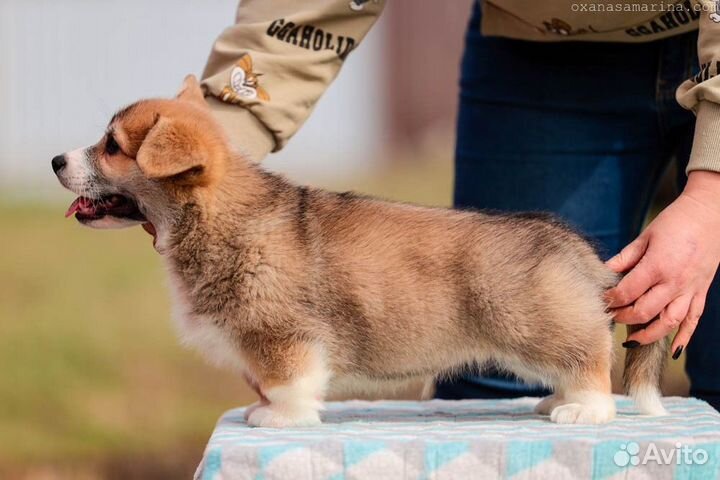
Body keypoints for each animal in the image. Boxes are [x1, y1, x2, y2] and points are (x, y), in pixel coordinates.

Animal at [52, 75, 668, 428]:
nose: (58, 160)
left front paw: (277, 419)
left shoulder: (282, 338)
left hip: (538, 327)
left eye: (112, 148)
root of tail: (577, 250)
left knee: (591, 362)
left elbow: (289, 384)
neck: (216, 213)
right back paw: (550, 403)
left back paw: (582, 410)